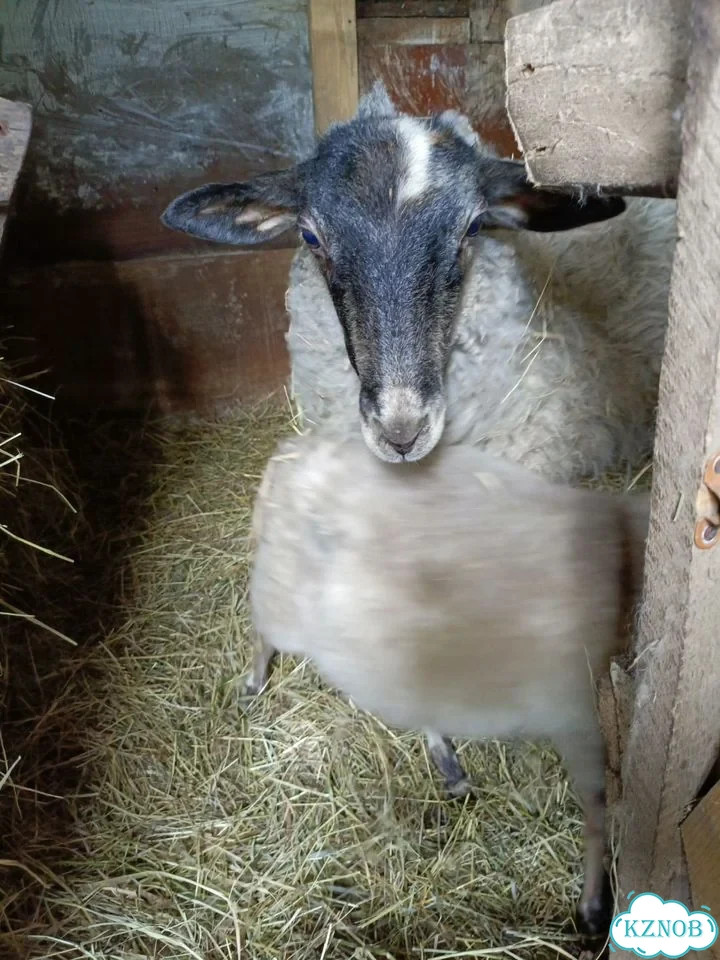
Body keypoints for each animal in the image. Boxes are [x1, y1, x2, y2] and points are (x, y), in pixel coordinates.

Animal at [245, 429, 650, 936]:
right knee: (262, 630)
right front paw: (593, 905)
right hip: (281, 602)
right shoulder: (572, 710)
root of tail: (290, 455)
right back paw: (254, 681)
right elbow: (597, 806)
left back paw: (449, 765)